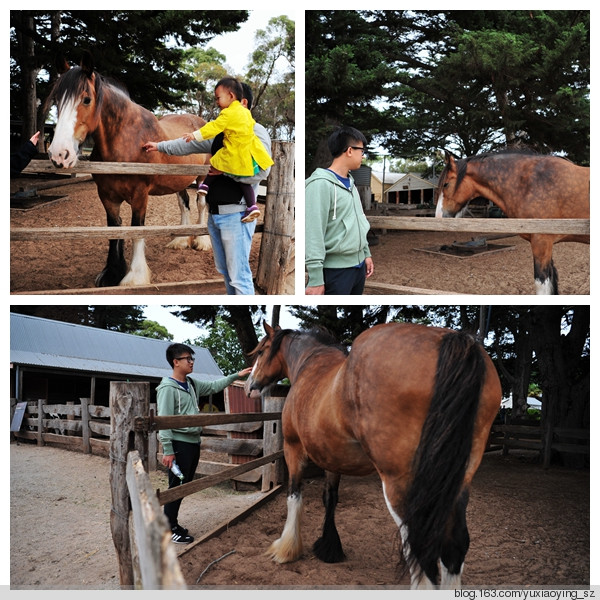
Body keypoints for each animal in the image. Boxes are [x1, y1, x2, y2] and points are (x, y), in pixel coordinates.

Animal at [44, 54, 210, 286]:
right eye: (57, 100)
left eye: (86, 99)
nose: (59, 154)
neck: (127, 141)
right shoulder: (107, 196)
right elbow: (115, 229)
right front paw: (112, 273)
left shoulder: (140, 195)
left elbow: (136, 229)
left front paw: (135, 276)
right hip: (180, 180)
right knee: (183, 203)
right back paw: (180, 239)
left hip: (203, 176)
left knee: (201, 204)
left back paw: (201, 241)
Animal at [244, 322, 502, 588]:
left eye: (261, 351)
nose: (249, 386)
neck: (310, 363)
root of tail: (454, 340)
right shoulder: (332, 458)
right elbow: (330, 498)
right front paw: (329, 548)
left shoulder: (293, 448)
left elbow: (294, 495)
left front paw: (286, 549)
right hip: (456, 484)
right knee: (454, 548)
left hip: (400, 485)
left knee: (421, 550)